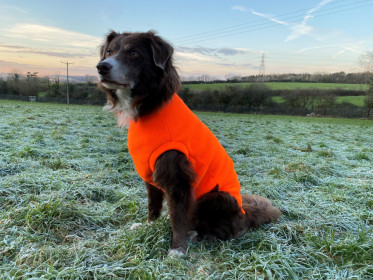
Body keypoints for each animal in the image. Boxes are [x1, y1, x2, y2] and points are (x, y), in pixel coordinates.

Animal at [96, 30, 280, 256]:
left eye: (133, 52)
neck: (150, 105)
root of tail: (245, 214)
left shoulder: (177, 176)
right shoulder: (150, 173)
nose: (102, 66)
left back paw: (199, 235)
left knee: (224, 231)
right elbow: (153, 204)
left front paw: (177, 250)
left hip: (217, 197)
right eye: (109, 52)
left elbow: (177, 217)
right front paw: (149, 226)